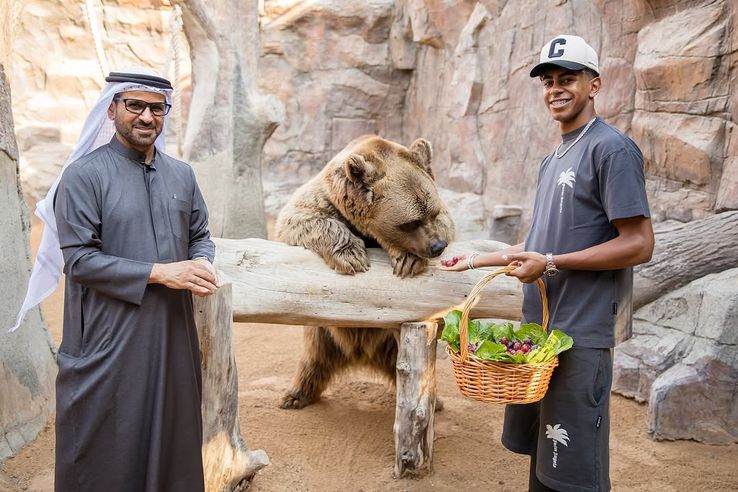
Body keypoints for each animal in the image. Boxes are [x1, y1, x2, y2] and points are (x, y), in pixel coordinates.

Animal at [274, 134, 452, 408]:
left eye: (431, 212)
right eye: (410, 222)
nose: (436, 247)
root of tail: (361, 355)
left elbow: (449, 225)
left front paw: (408, 259)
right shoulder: (324, 200)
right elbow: (299, 219)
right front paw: (352, 256)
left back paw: (436, 399)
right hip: (323, 333)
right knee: (313, 357)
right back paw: (295, 395)